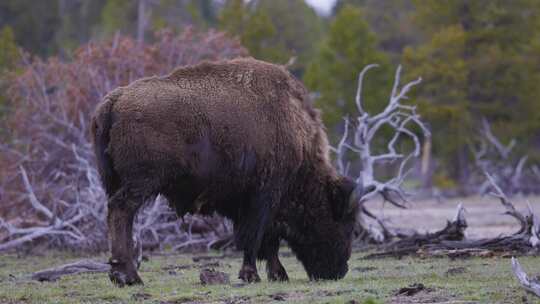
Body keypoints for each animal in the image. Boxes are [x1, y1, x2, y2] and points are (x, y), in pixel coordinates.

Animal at [90, 57, 364, 288]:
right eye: (345, 222)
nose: (339, 271)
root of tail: (116, 98)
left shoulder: (251, 202)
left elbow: (268, 241)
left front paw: (277, 275)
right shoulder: (264, 197)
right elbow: (255, 238)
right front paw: (252, 275)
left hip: (118, 182)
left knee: (117, 213)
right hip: (142, 182)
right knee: (121, 212)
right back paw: (128, 276)